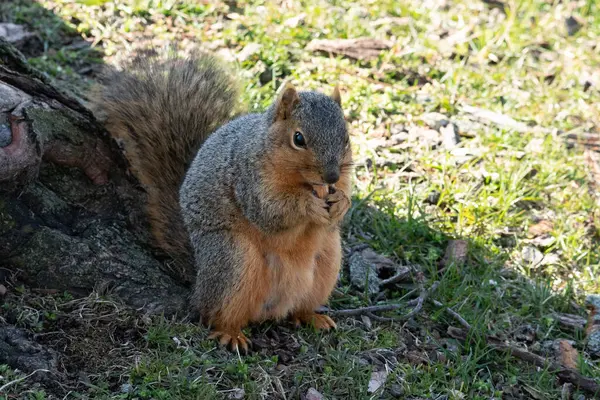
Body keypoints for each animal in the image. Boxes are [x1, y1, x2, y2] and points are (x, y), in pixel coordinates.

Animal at [92, 50, 354, 354]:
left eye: (346, 138)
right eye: (298, 138)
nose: (332, 175)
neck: (304, 182)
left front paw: (342, 201)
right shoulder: (248, 179)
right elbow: (270, 211)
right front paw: (308, 206)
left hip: (327, 261)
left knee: (297, 309)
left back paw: (312, 316)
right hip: (232, 260)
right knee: (213, 312)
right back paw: (230, 334)